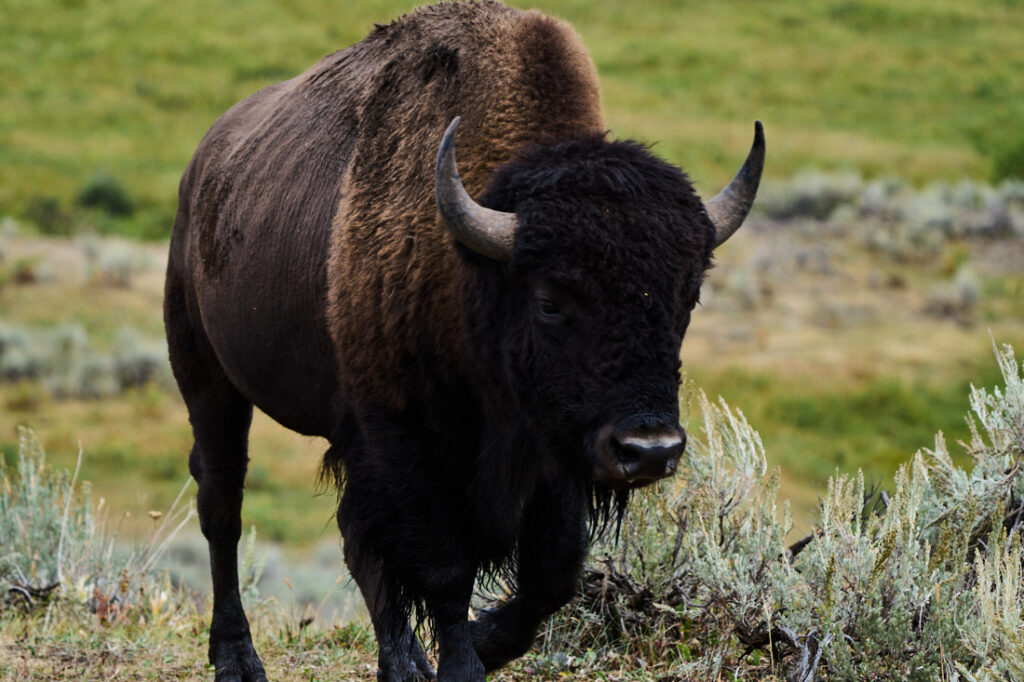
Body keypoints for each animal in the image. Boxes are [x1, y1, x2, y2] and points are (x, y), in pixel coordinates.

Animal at [164, 1, 764, 680]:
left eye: (687, 297)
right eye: (549, 300)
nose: (651, 450)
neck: (476, 269)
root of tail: (203, 168)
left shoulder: (552, 447)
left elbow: (552, 573)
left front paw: (484, 641)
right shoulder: (405, 440)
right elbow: (445, 570)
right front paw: (461, 663)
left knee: (353, 541)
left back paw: (401, 663)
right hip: (209, 379)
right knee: (223, 507)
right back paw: (238, 658)